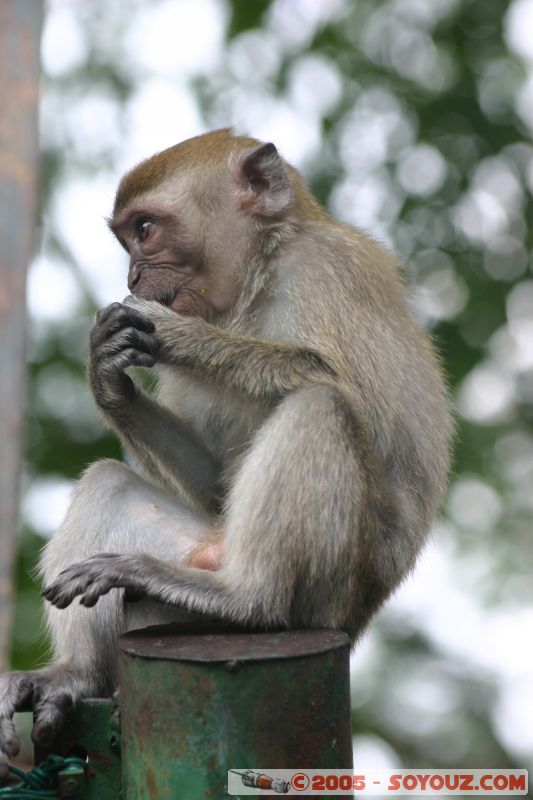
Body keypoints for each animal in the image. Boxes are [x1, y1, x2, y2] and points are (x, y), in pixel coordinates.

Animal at [0, 129, 452, 776]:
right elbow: (215, 485)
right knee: (110, 482)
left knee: (321, 406)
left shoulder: (329, 271)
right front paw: (106, 374)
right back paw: (75, 675)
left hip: (331, 590)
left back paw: (247, 599)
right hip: (194, 557)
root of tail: (358, 619)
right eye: (127, 239)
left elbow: (360, 403)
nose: (134, 274)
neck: (257, 282)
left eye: (144, 230)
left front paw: (174, 334)